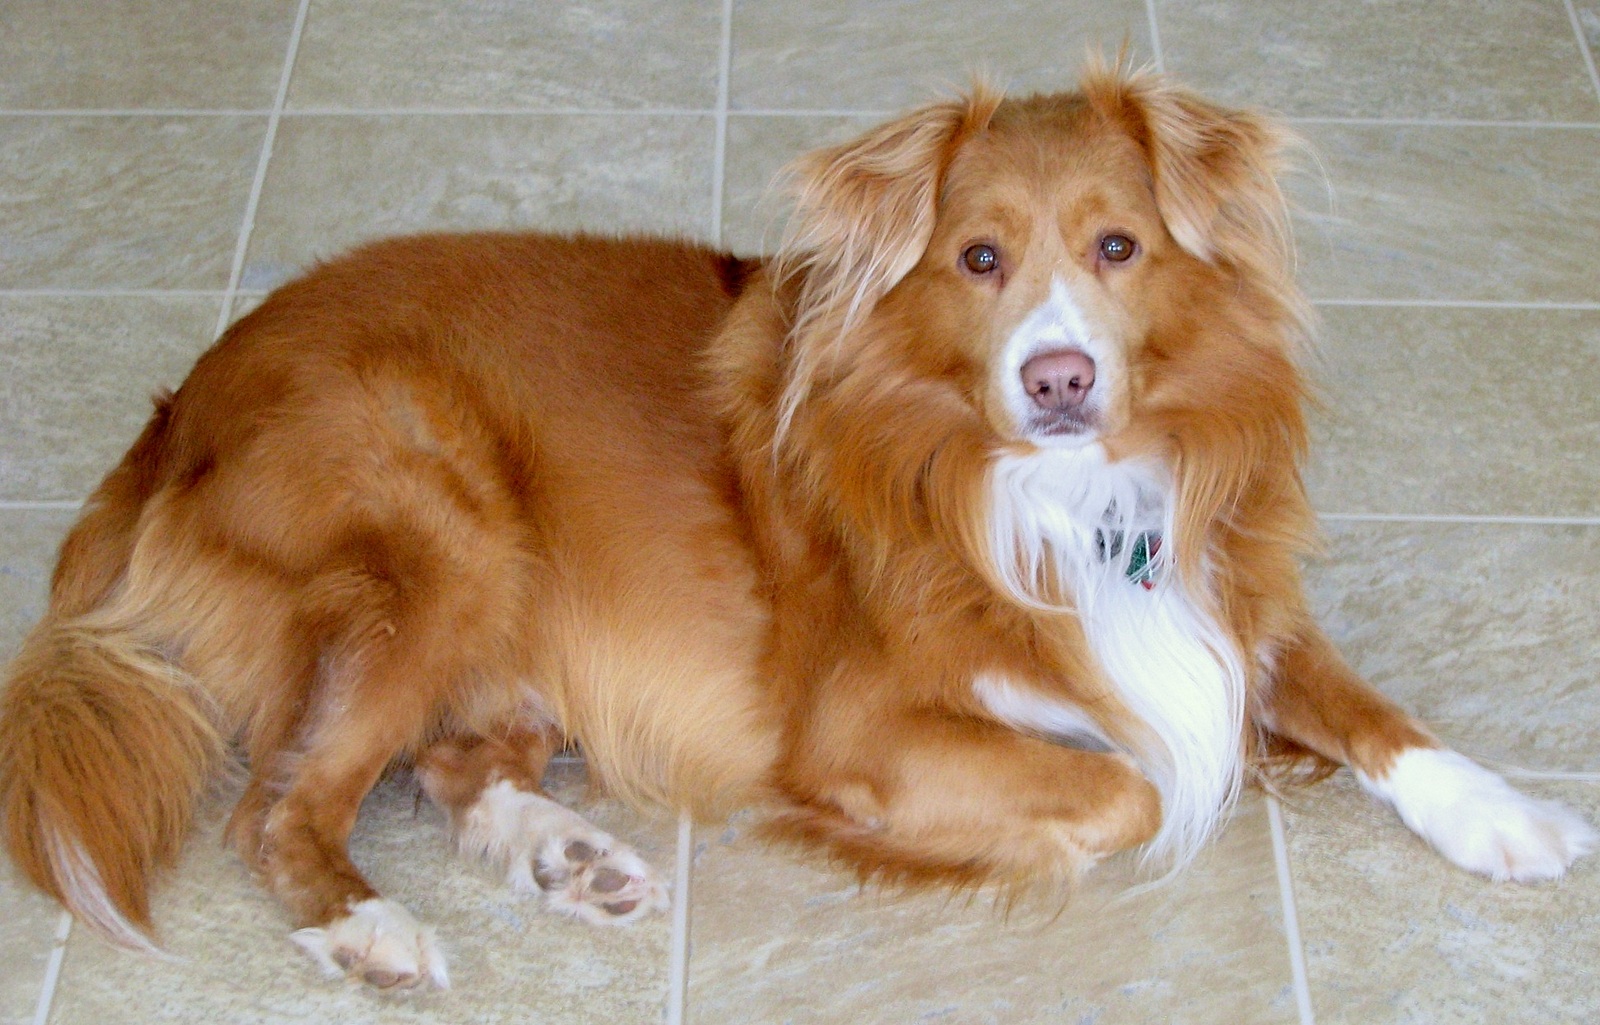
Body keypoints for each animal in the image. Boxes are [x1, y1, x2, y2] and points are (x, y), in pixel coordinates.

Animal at [6, 61, 1593, 985]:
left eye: (1119, 247)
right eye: (979, 258)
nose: (1060, 376)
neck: (1060, 493)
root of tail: (177, 406)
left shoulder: (1225, 594)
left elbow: (1366, 706)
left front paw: (1501, 812)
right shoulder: (862, 726)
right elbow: (1130, 784)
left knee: (452, 759)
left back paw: (565, 854)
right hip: (441, 531)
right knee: (281, 802)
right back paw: (373, 927)